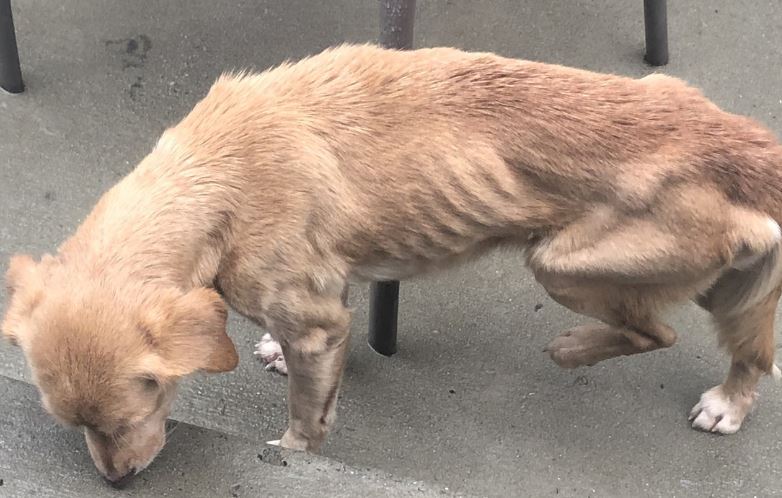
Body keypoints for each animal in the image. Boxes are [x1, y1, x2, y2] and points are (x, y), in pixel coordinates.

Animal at [1, 44, 782, 484]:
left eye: (144, 404)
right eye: (71, 424)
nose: (116, 482)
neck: (210, 176)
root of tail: (735, 140)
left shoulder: (313, 322)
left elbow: (305, 423)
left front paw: (291, 452)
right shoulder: (328, 294)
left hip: (562, 261)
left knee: (660, 332)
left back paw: (589, 354)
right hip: (715, 271)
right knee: (745, 345)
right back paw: (728, 397)